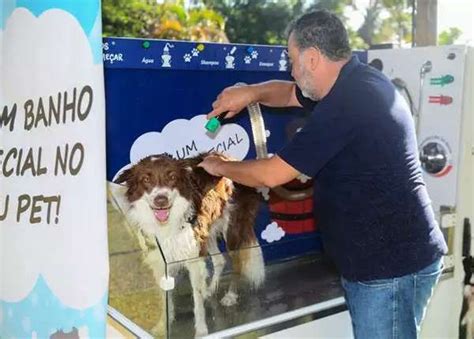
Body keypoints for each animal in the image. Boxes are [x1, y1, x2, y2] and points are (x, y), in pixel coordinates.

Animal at [113, 153, 264, 338]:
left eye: (172, 177)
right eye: (146, 179)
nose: (161, 200)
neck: (166, 224)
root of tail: (229, 158)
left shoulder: (193, 260)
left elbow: (197, 302)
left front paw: (201, 330)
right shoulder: (161, 262)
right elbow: (165, 298)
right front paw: (163, 325)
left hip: (232, 229)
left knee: (237, 264)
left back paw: (230, 295)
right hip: (207, 231)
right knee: (219, 260)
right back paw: (210, 289)